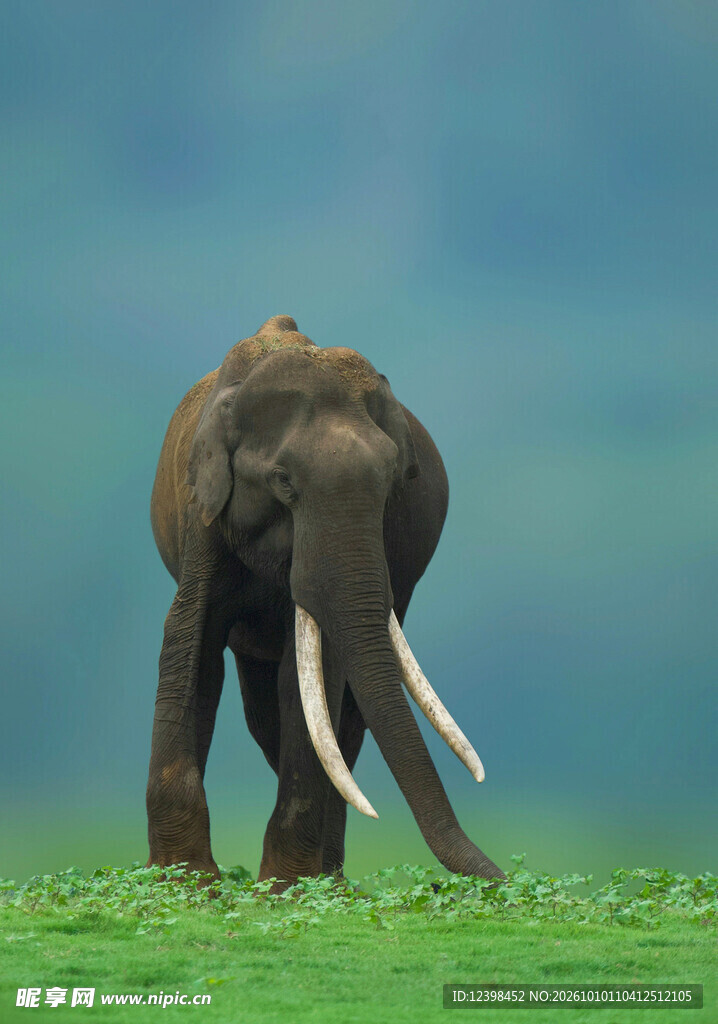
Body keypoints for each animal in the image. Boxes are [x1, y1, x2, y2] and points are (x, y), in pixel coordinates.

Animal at [146, 314, 505, 890]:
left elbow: (314, 680)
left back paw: (329, 879)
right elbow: (189, 644)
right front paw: (186, 882)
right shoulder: (203, 515)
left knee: (341, 720)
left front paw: (286, 889)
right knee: (262, 711)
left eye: (393, 483)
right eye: (282, 481)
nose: (504, 882)